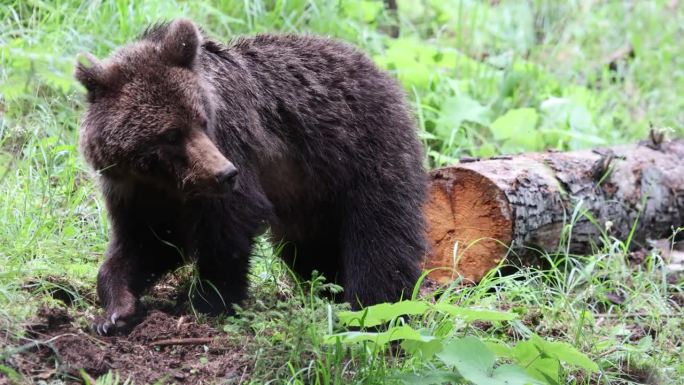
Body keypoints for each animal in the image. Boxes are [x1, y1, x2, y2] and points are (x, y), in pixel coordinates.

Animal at [76, 18, 428, 332]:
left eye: (202, 121)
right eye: (171, 135)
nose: (224, 173)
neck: (161, 179)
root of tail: (381, 71)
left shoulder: (234, 149)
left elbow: (230, 226)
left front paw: (205, 300)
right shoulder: (135, 193)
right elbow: (145, 245)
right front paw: (116, 312)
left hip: (362, 156)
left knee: (378, 238)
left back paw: (373, 310)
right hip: (310, 198)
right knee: (313, 250)